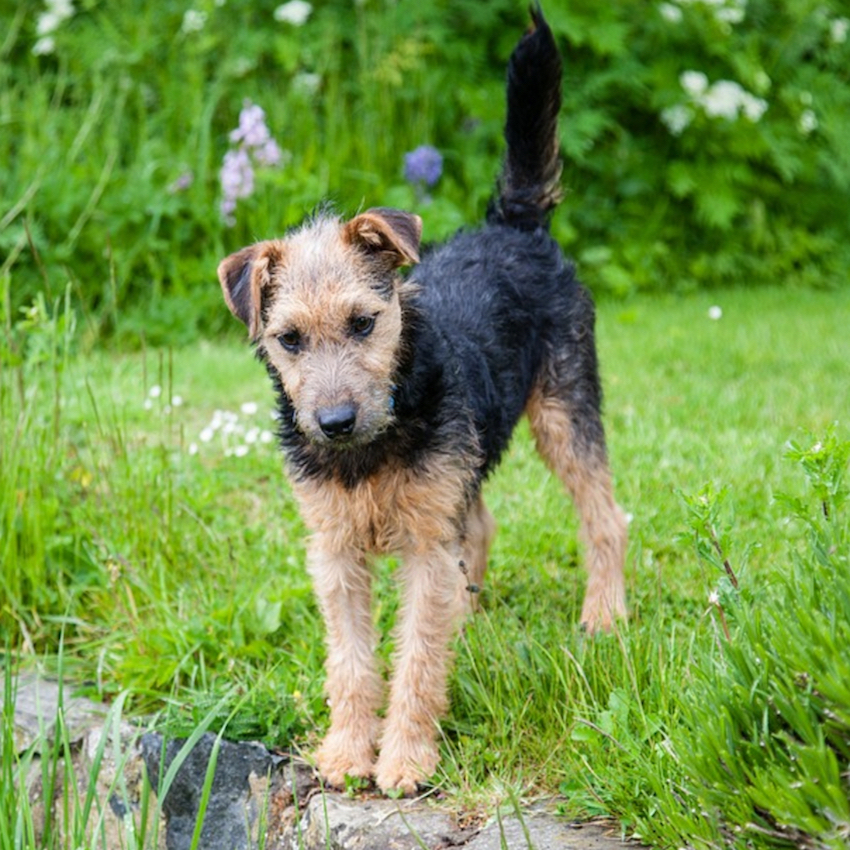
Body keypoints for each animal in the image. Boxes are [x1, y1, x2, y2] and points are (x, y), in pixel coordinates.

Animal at [215, 6, 628, 792]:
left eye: (363, 322)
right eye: (288, 339)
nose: (335, 422)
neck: (372, 450)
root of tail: (514, 222)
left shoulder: (423, 547)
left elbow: (414, 661)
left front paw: (405, 760)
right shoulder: (336, 552)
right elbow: (351, 663)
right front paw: (347, 753)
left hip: (565, 412)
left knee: (605, 518)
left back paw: (606, 616)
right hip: (468, 469)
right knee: (483, 529)